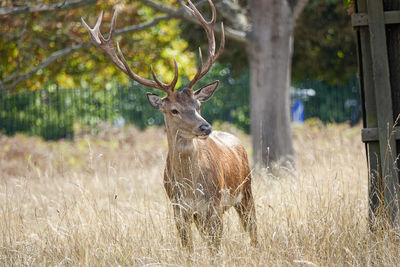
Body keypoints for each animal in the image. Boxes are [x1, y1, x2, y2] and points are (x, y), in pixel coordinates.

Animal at [82, 0, 256, 252]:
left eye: (198, 105)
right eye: (174, 110)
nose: (205, 128)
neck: (191, 187)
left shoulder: (213, 205)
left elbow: (215, 249)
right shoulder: (178, 208)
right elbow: (188, 249)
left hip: (247, 189)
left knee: (253, 230)